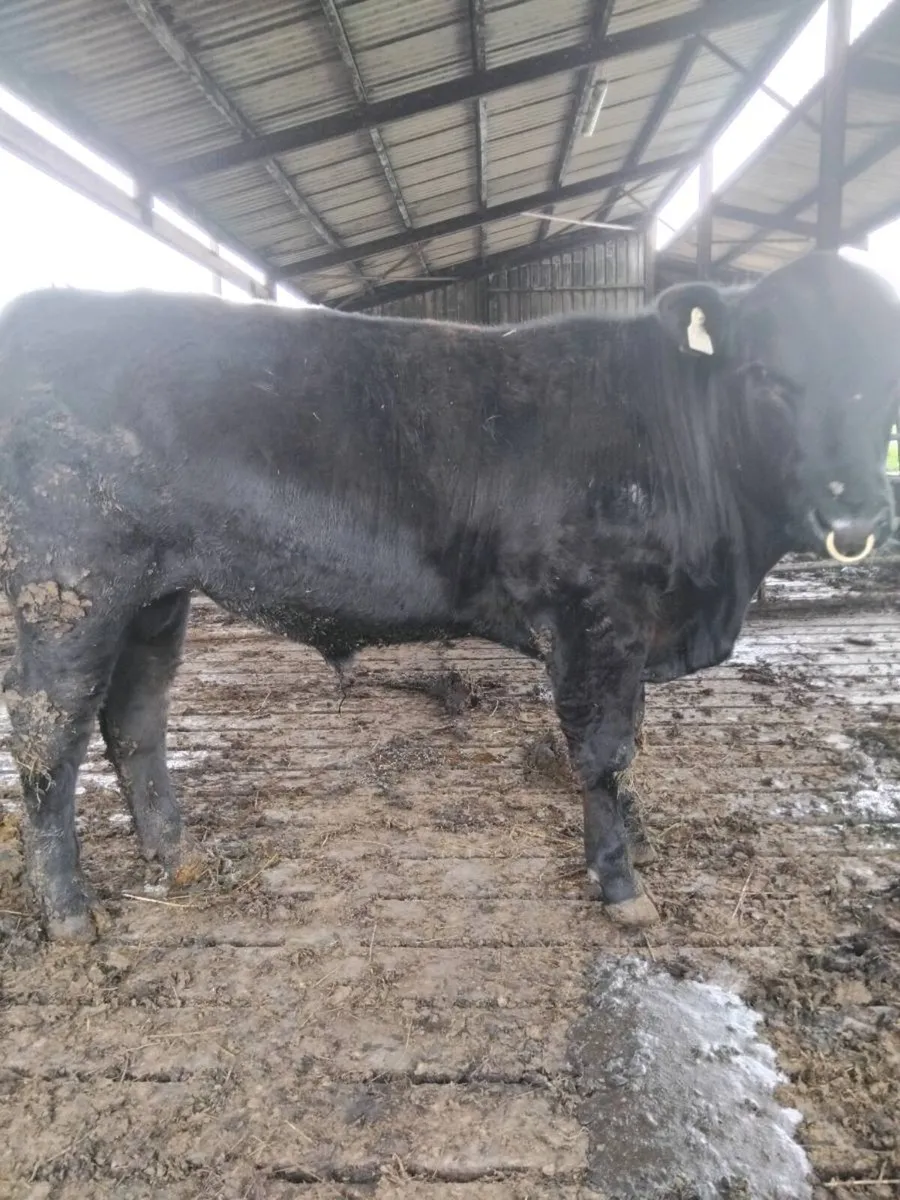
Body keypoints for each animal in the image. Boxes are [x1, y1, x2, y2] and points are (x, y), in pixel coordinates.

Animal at [0, 250, 897, 942]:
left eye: (886, 378)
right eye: (769, 377)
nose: (854, 515)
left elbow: (631, 745)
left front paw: (636, 844)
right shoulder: (595, 614)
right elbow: (606, 752)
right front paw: (620, 884)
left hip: (157, 596)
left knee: (135, 721)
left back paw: (178, 859)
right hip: (71, 586)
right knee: (49, 739)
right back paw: (69, 913)